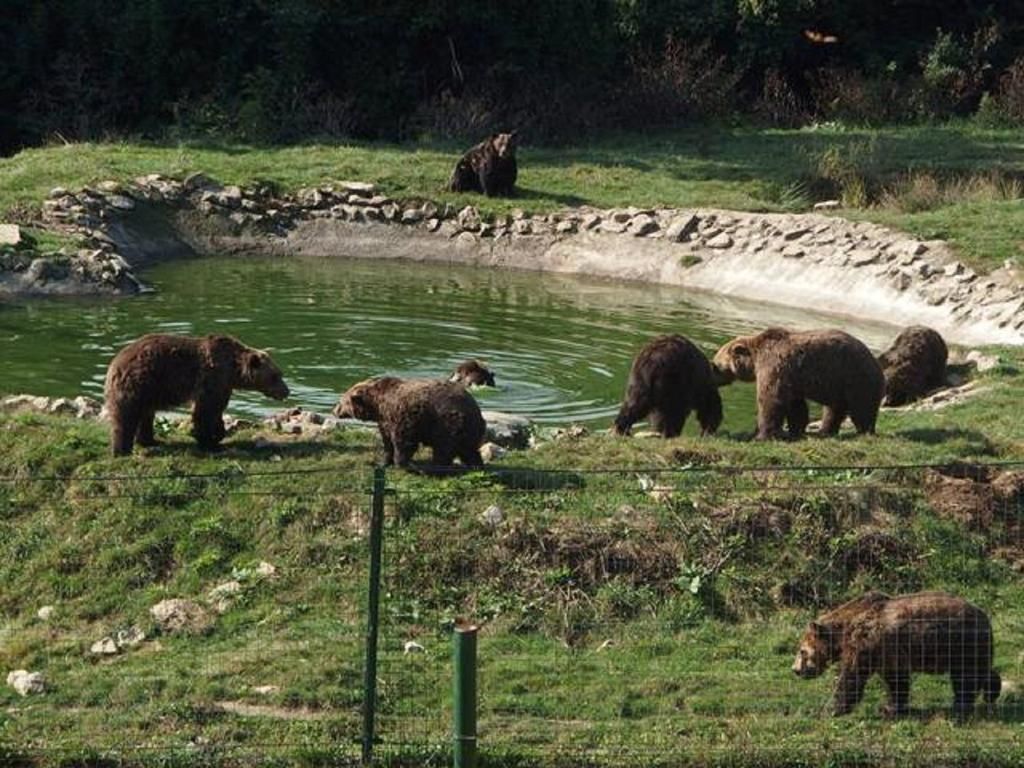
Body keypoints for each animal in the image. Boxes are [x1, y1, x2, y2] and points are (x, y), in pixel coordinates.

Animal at [103, 331, 290, 456]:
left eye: (280, 374)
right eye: (275, 376)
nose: (286, 391)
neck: (233, 370)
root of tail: (114, 364)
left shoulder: (223, 385)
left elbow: (216, 410)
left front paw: (218, 434)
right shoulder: (212, 378)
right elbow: (206, 410)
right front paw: (208, 441)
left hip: (148, 391)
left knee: (146, 415)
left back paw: (149, 440)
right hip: (138, 383)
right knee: (126, 418)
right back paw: (122, 450)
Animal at [331, 376, 483, 468]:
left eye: (341, 401)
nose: (334, 410)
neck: (377, 404)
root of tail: (476, 409)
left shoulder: (405, 416)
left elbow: (403, 440)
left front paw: (401, 463)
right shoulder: (385, 420)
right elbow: (387, 442)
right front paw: (384, 461)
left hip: (448, 421)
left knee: (443, 447)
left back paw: (434, 467)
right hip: (468, 429)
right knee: (469, 450)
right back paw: (476, 465)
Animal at [708, 327, 884, 442]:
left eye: (716, 364)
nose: (711, 372)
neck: (755, 359)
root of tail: (877, 363)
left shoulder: (774, 366)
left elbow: (771, 400)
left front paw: (761, 435)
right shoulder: (791, 379)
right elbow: (795, 405)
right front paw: (795, 430)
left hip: (855, 377)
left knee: (862, 408)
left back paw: (865, 432)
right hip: (839, 386)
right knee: (834, 409)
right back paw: (825, 431)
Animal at [790, 593, 999, 720]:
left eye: (802, 651)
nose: (795, 670)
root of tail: (985, 616)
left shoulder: (865, 642)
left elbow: (851, 677)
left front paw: (829, 710)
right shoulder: (887, 653)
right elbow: (896, 681)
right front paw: (890, 708)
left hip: (961, 641)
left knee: (966, 677)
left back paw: (961, 707)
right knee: (978, 671)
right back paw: (991, 692)